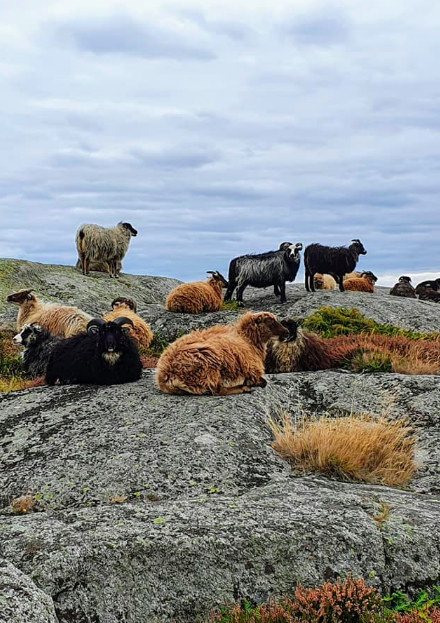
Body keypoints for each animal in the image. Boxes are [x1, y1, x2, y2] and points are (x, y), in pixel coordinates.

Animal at [156, 310, 288, 394]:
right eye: (270, 321)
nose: (287, 332)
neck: (248, 339)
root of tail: (167, 375)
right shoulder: (252, 370)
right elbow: (263, 381)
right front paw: (251, 383)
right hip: (210, 367)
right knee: (217, 391)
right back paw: (243, 388)